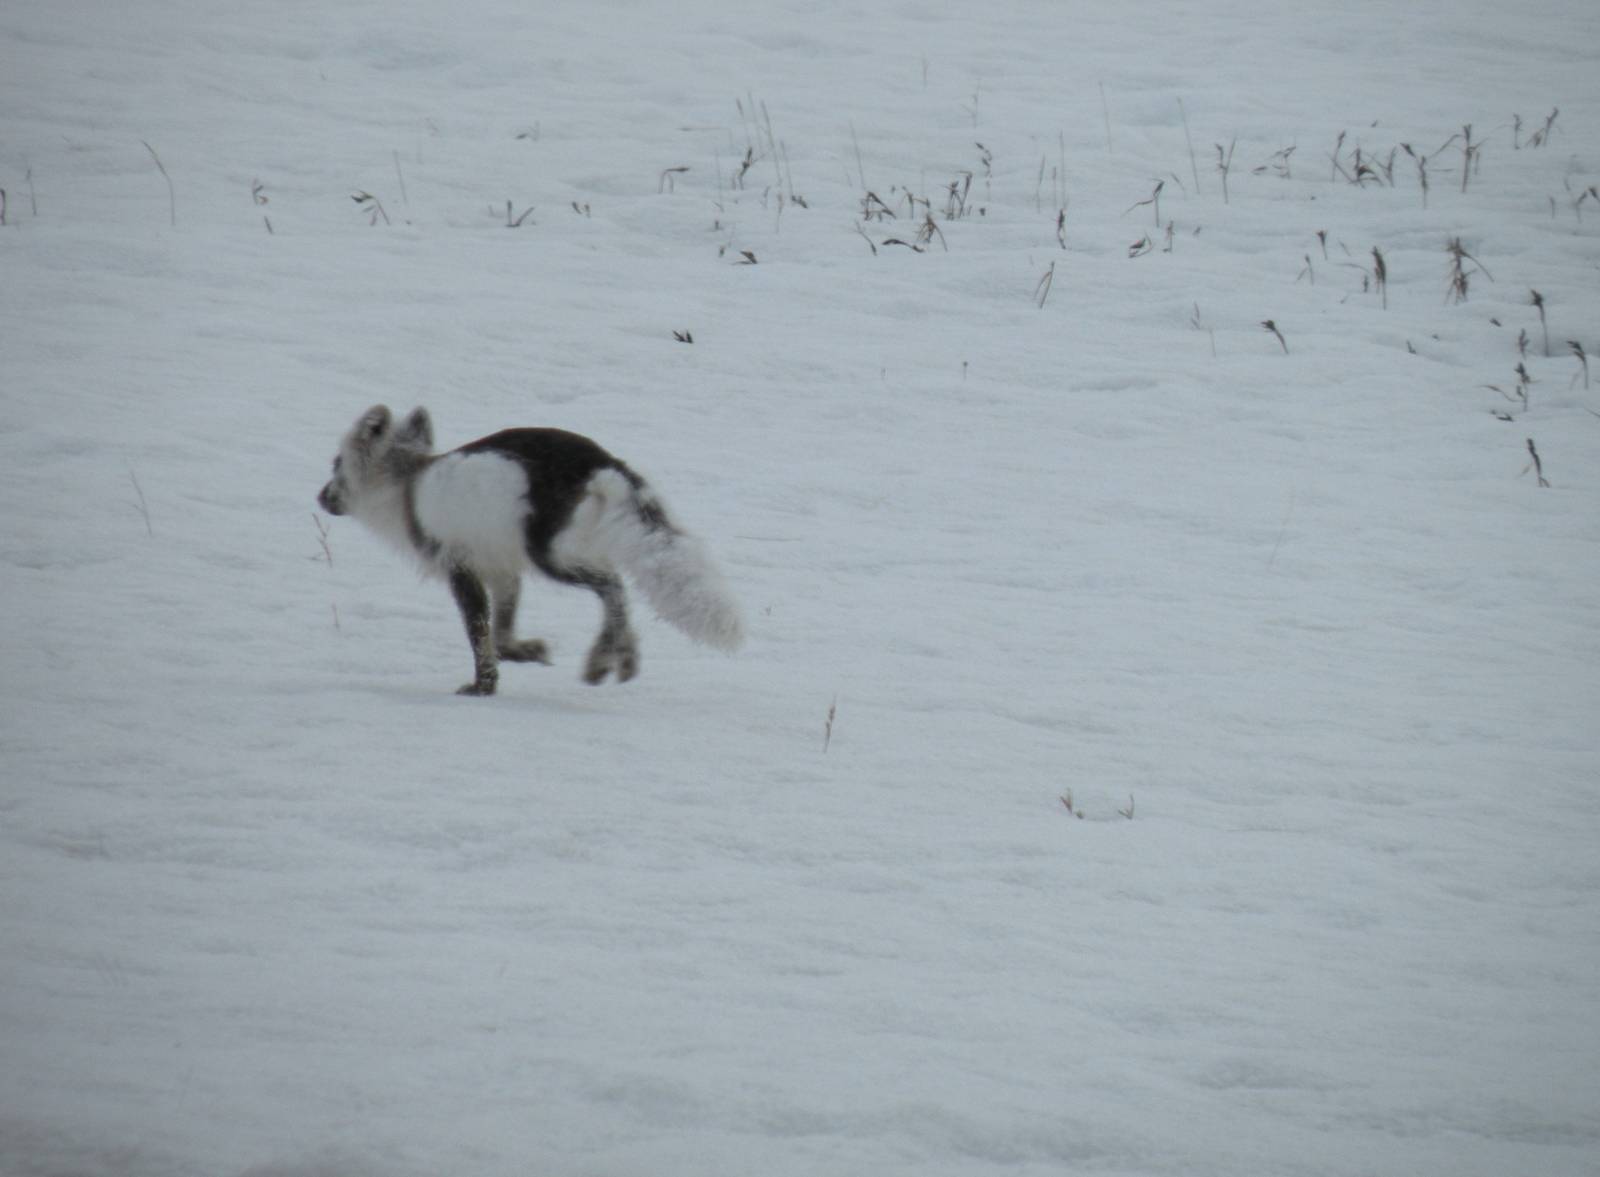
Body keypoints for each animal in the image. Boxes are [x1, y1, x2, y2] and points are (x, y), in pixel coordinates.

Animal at [317, 405, 743, 696]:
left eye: (336, 464)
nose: (320, 497)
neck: (405, 488)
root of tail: (603, 463)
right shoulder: (502, 568)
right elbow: (502, 632)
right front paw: (528, 652)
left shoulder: (459, 566)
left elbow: (479, 632)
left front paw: (483, 687)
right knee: (617, 591)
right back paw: (623, 658)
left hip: (550, 555)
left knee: (612, 587)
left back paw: (599, 661)